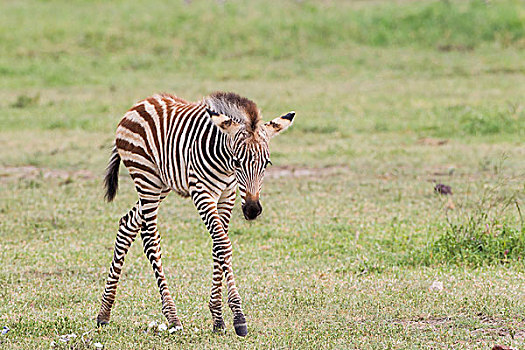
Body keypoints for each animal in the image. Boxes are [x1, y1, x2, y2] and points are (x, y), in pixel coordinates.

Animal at [95, 91, 294, 336]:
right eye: (237, 162)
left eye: (266, 164)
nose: (252, 210)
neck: (225, 162)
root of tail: (142, 103)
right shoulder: (202, 193)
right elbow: (223, 244)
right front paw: (238, 318)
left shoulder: (227, 194)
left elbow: (218, 246)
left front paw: (218, 319)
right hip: (146, 179)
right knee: (150, 240)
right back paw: (172, 317)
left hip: (162, 185)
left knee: (127, 224)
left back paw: (104, 313)